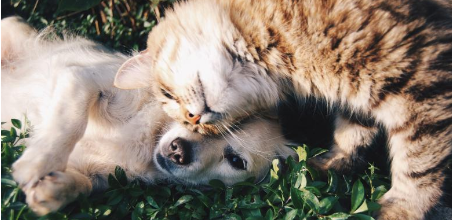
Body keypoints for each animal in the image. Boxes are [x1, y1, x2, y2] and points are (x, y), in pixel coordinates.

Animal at [0, 16, 296, 215]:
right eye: (193, 116)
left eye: (236, 161)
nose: (179, 151)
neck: (149, 139)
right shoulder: (82, 79)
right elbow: (69, 123)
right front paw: (37, 162)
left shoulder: (100, 176)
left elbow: (83, 185)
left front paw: (52, 190)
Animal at [114, 0, 452, 219]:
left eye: (167, 94)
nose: (194, 118)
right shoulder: (361, 93)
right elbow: (352, 134)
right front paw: (328, 165)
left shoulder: (420, 81)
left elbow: (418, 164)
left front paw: (403, 209)